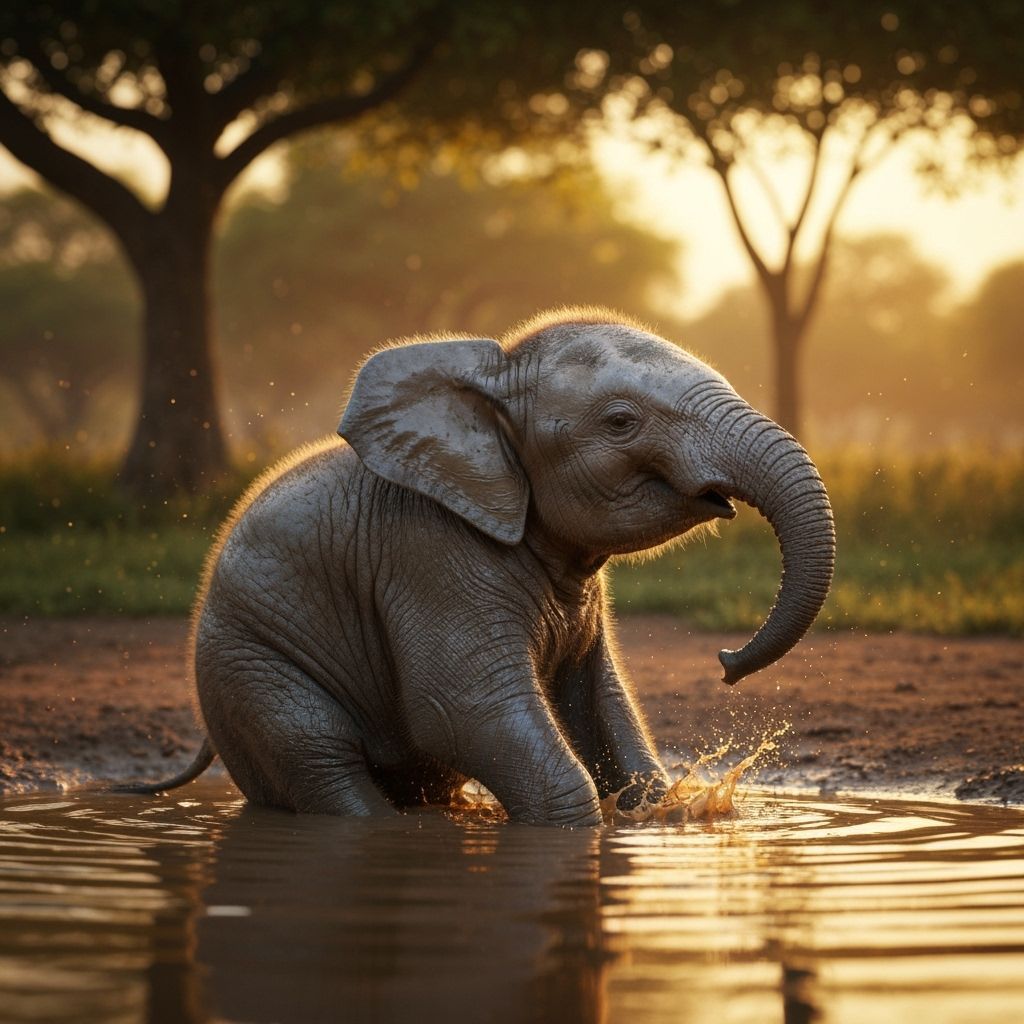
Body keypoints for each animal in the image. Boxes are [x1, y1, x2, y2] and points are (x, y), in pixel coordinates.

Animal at [123, 308, 835, 825]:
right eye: (620, 422)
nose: (726, 662)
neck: (493, 379)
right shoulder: (431, 555)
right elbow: (460, 710)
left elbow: (604, 710)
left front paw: (658, 812)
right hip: (250, 667)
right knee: (320, 760)